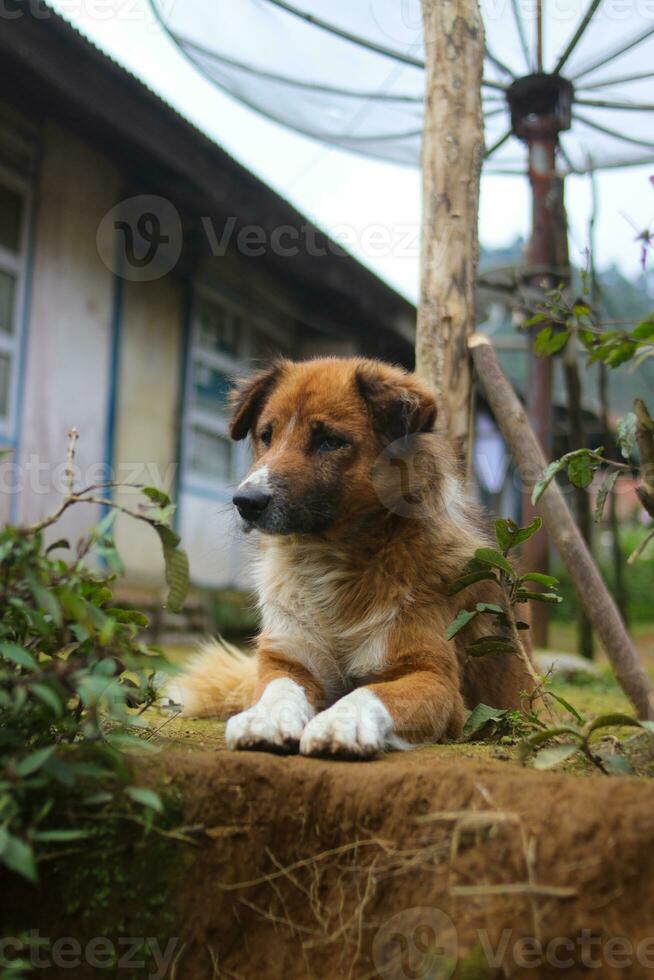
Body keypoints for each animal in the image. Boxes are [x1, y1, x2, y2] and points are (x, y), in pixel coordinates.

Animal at [169, 358, 532, 756]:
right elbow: (278, 689)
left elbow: (370, 693)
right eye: (267, 435)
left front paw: (341, 722)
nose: (246, 502)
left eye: (330, 441)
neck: (331, 560)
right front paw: (265, 718)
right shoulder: (288, 659)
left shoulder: (433, 677)